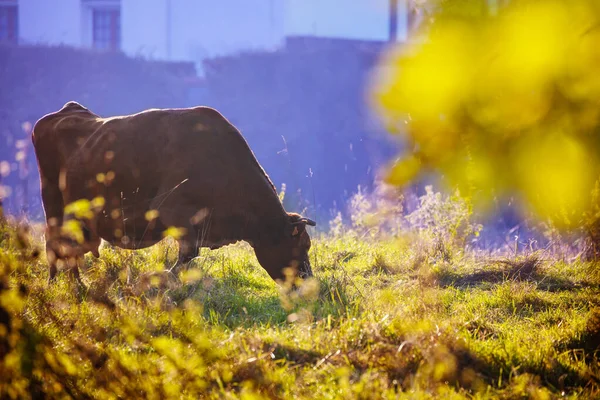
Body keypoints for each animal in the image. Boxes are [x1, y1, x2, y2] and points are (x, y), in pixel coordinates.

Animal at [31, 103, 316, 284]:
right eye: (302, 245)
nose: (309, 283)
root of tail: (66, 111)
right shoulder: (174, 214)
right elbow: (187, 256)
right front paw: (163, 279)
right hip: (53, 201)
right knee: (55, 242)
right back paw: (61, 285)